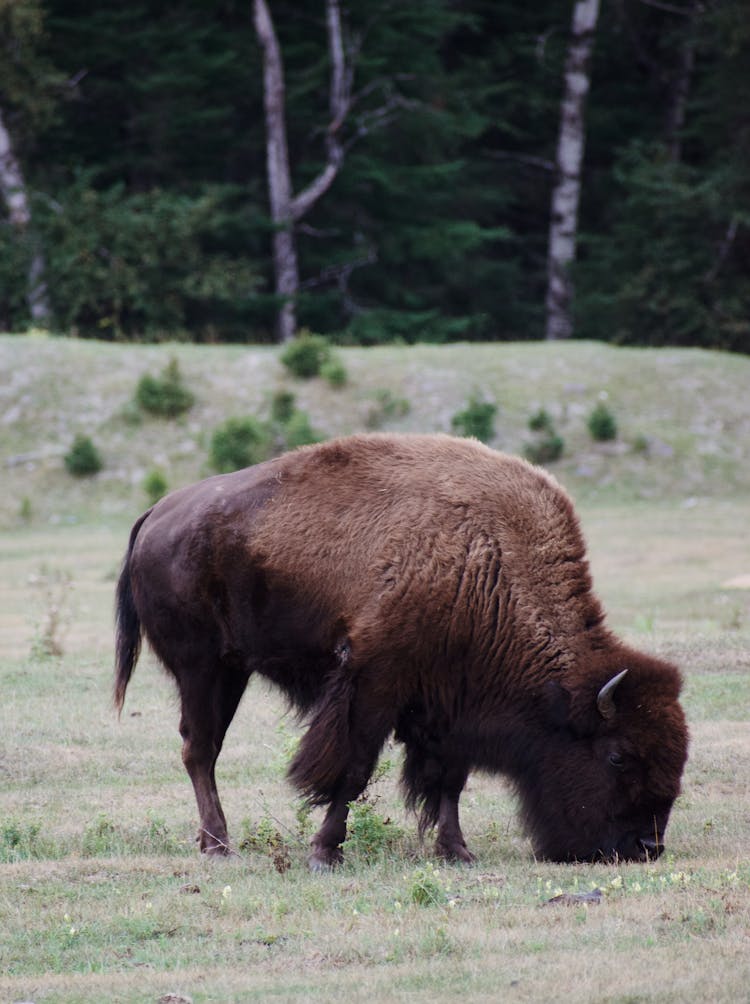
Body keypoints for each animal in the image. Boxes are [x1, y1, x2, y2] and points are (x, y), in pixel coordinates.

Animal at [114, 435, 690, 867]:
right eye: (617, 755)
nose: (647, 845)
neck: (486, 559)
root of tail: (158, 513)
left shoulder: (452, 703)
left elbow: (448, 781)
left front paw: (457, 852)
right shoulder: (373, 684)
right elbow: (352, 770)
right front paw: (325, 853)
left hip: (229, 670)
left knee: (202, 748)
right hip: (203, 668)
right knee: (200, 750)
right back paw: (218, 846)